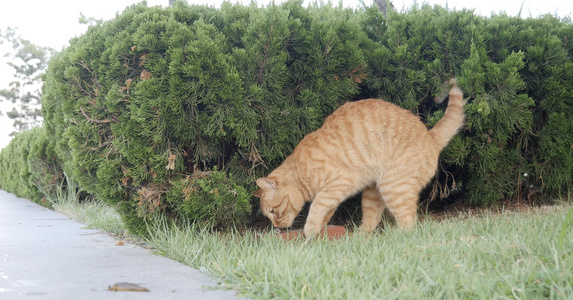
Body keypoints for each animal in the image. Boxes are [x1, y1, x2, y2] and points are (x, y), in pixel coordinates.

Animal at [255, 79, 464, 237]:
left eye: (272, 211)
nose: (276, 227)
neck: (300, 170)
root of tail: (431, 137)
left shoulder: (340, 182)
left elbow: (317, 205)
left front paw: (310, 230)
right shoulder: (336, 192)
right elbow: (326, 212)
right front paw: (318, 231)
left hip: (393, 186)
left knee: (408, 221)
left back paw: (395, 237)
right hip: (372, 192)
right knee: (373, 219)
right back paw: (360, 237)